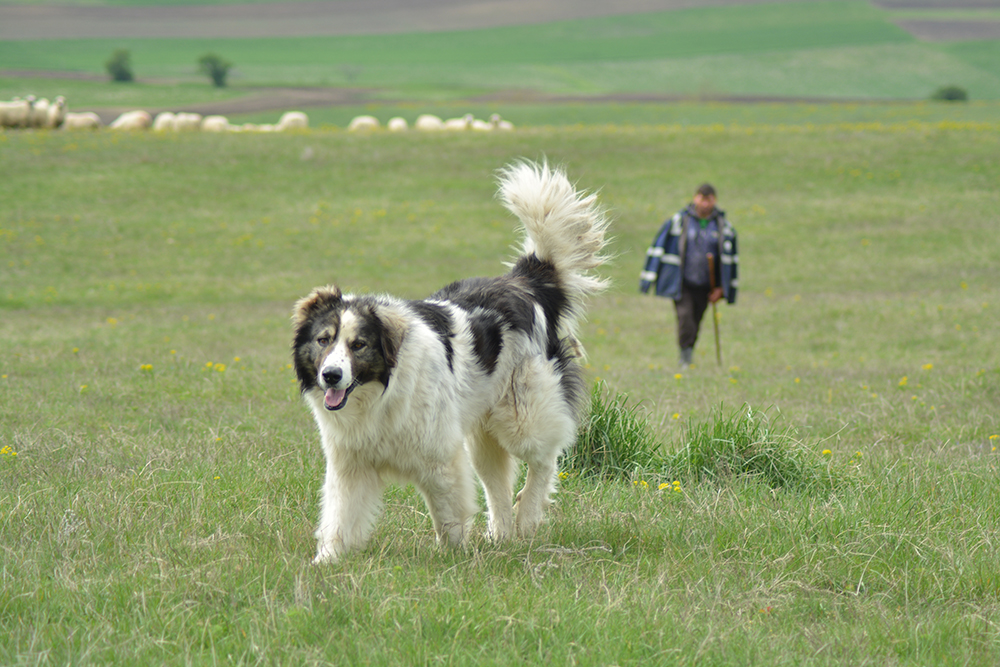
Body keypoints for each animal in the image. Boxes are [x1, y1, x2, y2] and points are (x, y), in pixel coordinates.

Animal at [292, 162, 608, 564]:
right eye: (324, 340)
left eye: (358, 345)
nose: (331, 376)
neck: (380, 394)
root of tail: (523, 283)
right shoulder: (351, 465)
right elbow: (339, 517)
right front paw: (325, 562)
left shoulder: (440, 457)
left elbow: (447, 513)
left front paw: (454, 556)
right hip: (484, 434)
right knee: (497, 484)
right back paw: (502, 535)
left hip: (522, 416)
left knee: (543, 460)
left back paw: (527, 517)